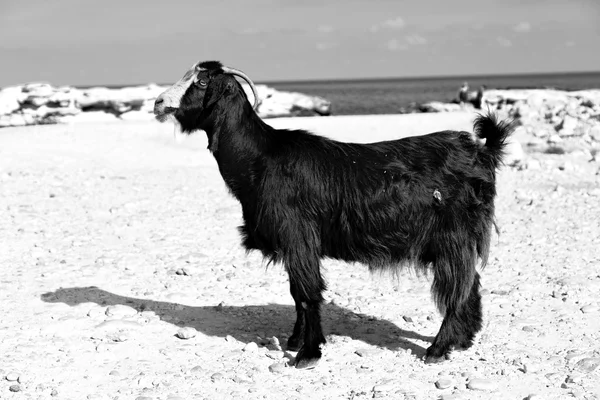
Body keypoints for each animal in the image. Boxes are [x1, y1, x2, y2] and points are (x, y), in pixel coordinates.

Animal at [154, 61, 510, 370]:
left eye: (202, 82)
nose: (158, 103)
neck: (261, 157)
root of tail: (481, 150)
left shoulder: (299, 237)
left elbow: (306, 293)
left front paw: (308, 353)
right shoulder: (294, 244)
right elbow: (296, 293)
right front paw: (295, 340)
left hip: (453, 237)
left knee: (457, 288)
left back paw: (438, 348)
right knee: (471, 283)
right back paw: (463, 341)